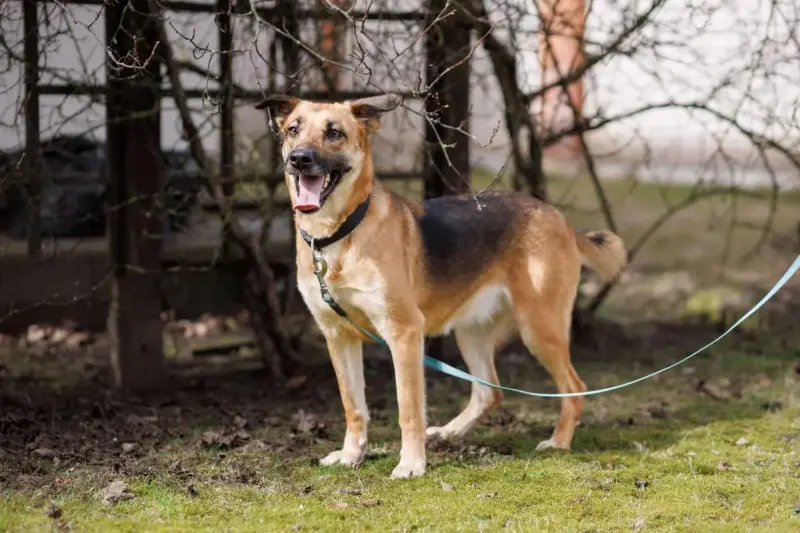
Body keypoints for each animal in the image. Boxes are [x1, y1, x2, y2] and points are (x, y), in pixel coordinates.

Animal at [255, 92, 624, 478]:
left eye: (334, 132)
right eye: (293, 130)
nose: (299, 159)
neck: (339, 234)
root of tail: (557, 217)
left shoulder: (403, 334)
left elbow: (409, 409)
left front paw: (411, 464)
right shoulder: (338, 337)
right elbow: (353, 406)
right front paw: (351, 454)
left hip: (539, 328)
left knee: (574, 387)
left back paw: (559, 442)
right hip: (471, 332)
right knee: (489, 392)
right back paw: (449, 432)